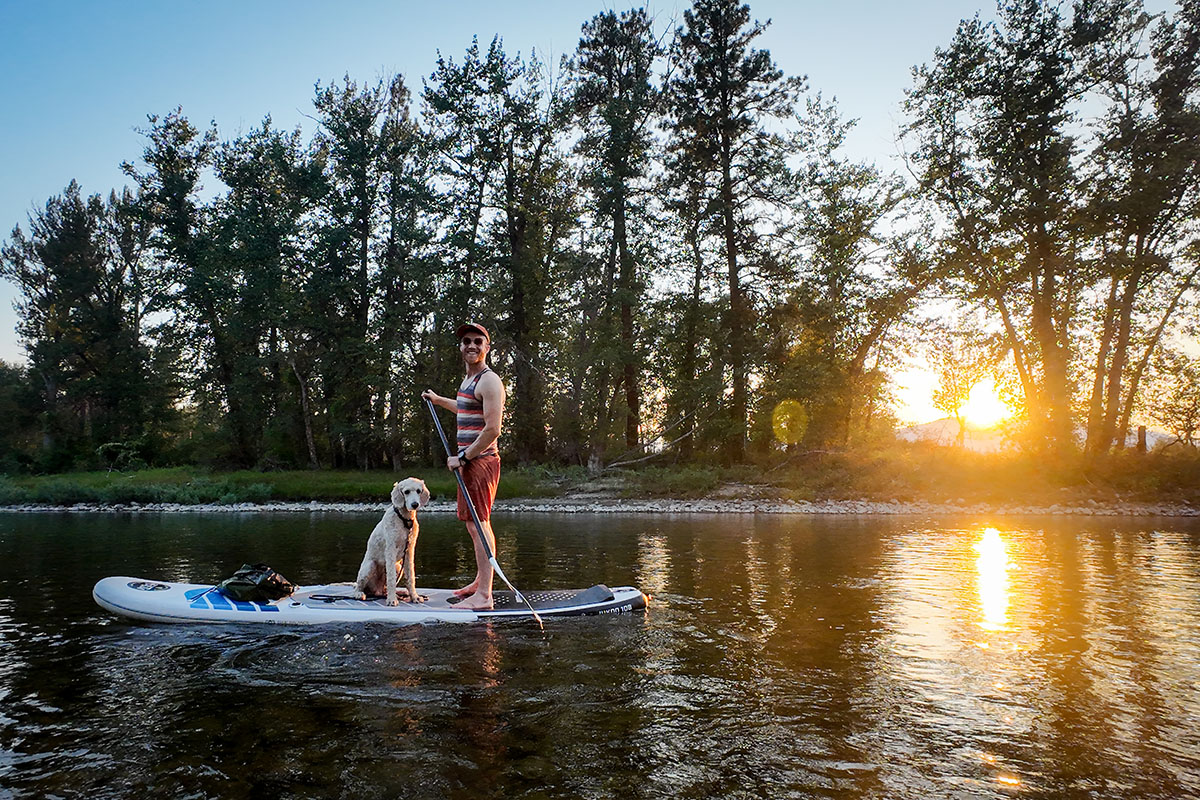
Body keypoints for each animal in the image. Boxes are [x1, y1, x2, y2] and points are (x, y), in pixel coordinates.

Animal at [355, 474, 432, 606]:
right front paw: (392, 600)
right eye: (406, 492)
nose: (415, 504)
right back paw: (360, 594)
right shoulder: (391, 549)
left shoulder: (409, 550)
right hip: (370, 566)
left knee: (383, 589)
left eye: (418, 491)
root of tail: (377, 589)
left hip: (398, 567)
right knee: (358, 586)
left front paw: (415, 597)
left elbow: (411, 577)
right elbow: (391, 579)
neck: (405, 520)